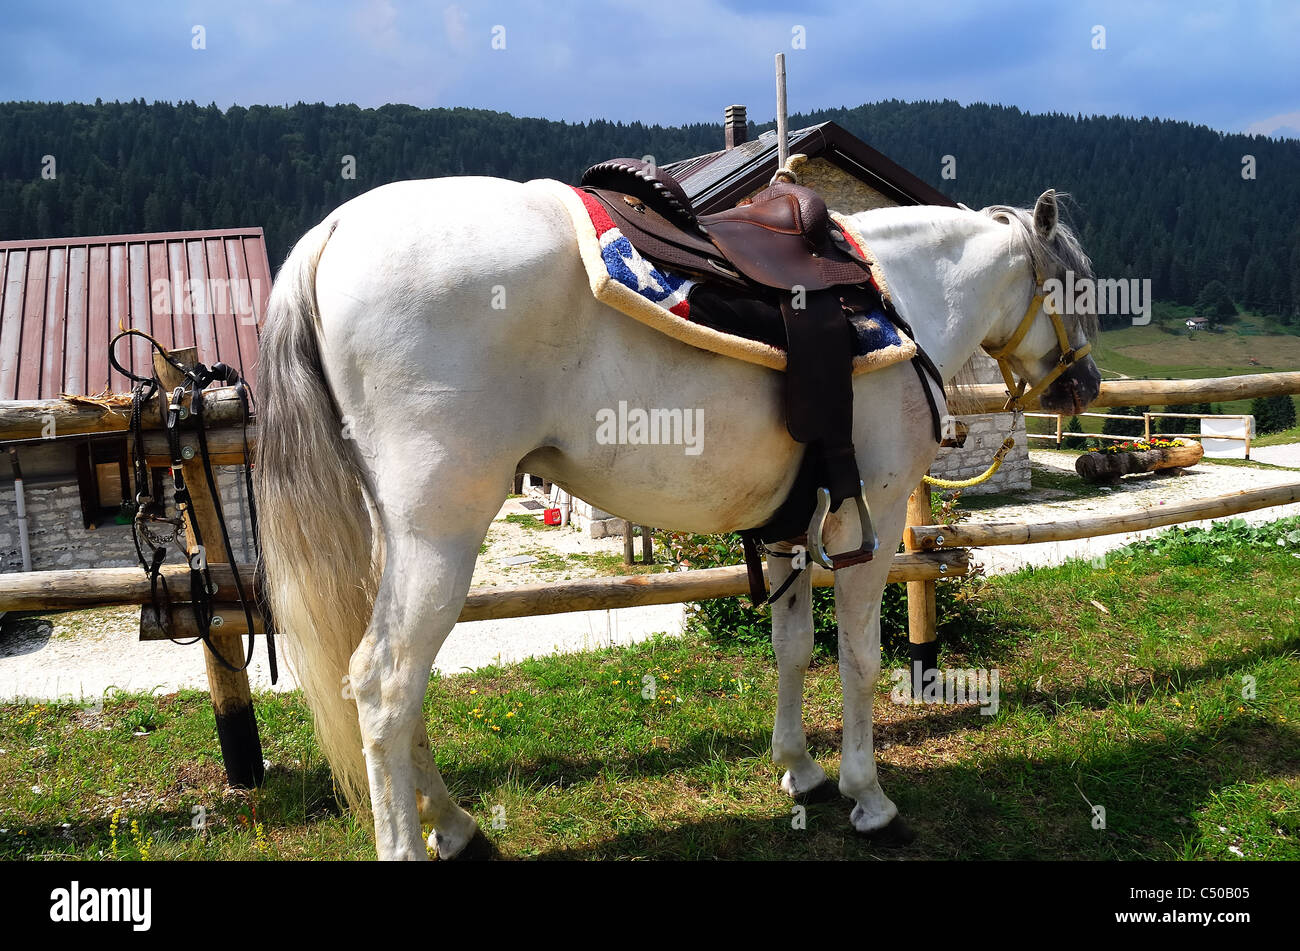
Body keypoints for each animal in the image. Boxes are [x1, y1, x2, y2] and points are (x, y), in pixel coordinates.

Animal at [253, 178, 1101, 860]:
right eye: (1080, 290)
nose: (1084, 385)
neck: (901, 294)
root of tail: (333, 234)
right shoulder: (877, 516)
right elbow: (858, 657)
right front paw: (869, 797)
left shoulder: (792, 524)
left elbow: (792, 646)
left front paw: (800, 769)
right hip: (442, 532)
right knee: (385, 683)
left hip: (402, 540)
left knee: (399, 687)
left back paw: (457, 825)